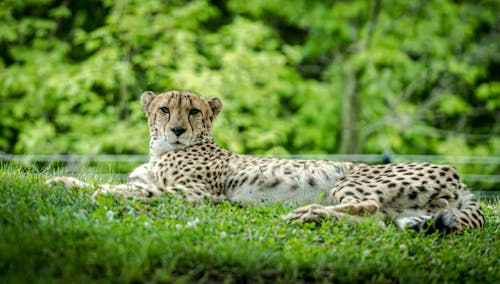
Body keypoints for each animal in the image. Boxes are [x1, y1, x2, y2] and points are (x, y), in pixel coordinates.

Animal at [47, 90, 484, 233]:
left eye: (194, 111)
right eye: (165, 109)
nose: (177, 130)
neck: (163, 152)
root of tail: (459, 177)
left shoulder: (200, 197)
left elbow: (136, 192)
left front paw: (105, 193)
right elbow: (106, 183)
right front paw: (59, 183)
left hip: (349, 179)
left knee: (371, 210)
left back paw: (306, 213)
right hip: (409, 211)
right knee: (380, 221)